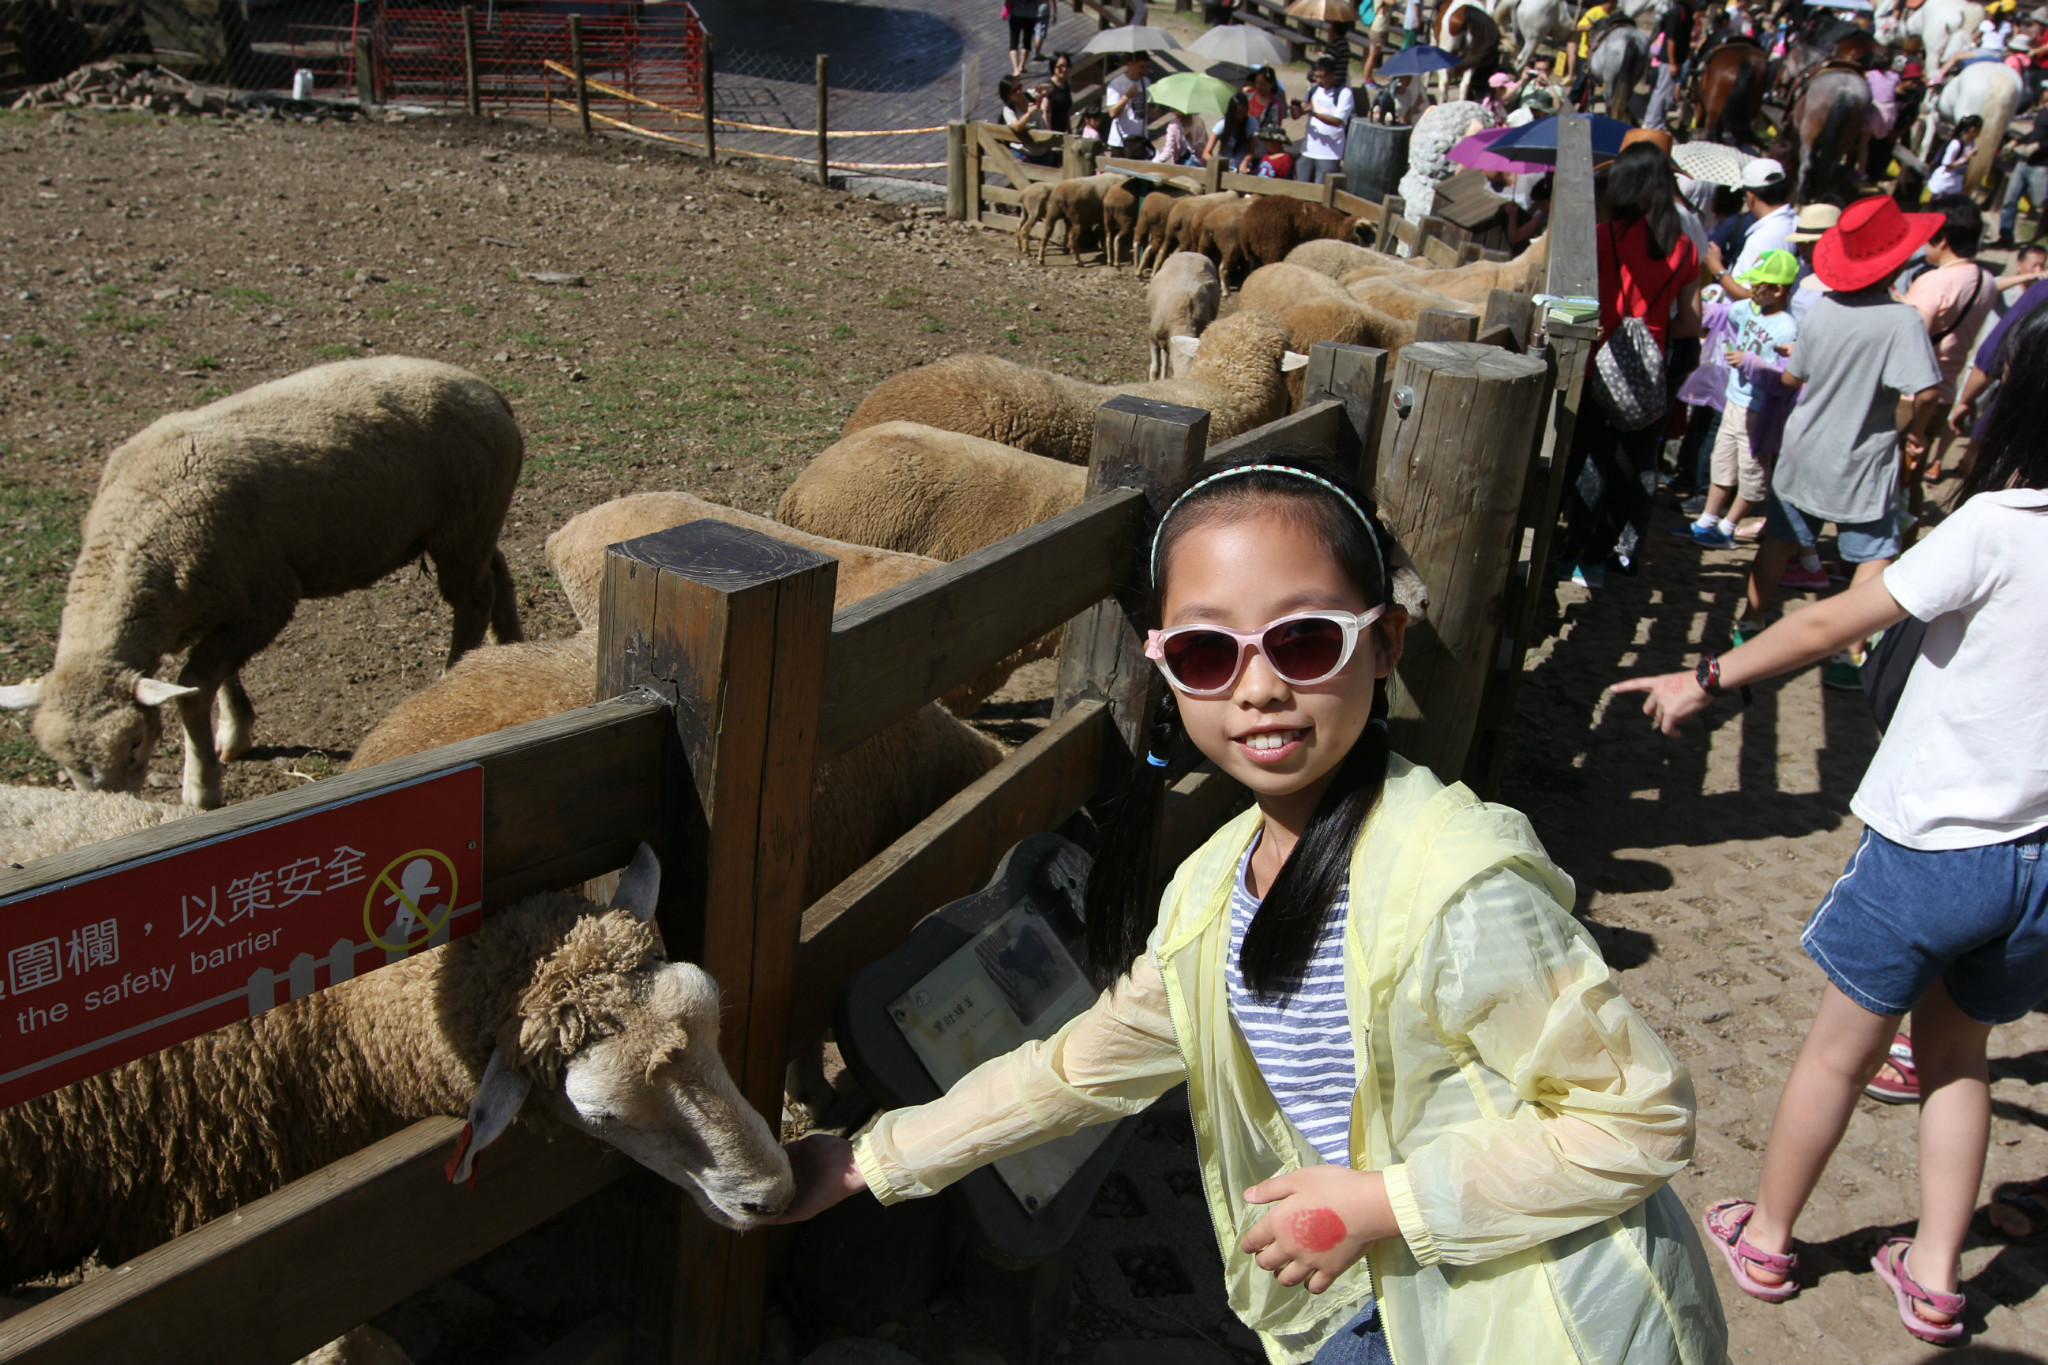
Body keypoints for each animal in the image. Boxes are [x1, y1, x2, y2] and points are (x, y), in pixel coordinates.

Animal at [0, 358, 524, 818]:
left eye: (134, 743)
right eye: (61, 763)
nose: (113, 806)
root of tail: (489, 393)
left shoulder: (266, 603)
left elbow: (193, 688)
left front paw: (202, 785)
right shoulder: (220, 602)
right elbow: (216, 677)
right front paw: (235, 731)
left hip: (461, 522)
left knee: (472, 600)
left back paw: (455, 675)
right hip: (475, 523)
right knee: (497, 574)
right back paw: (510, 645)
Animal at [1228, 197, 1376, 274]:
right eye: (1365, 233)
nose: (1372, 246)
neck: (1339, 226)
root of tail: (1248, 224)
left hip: (1252, 253)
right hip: (1272, 248)